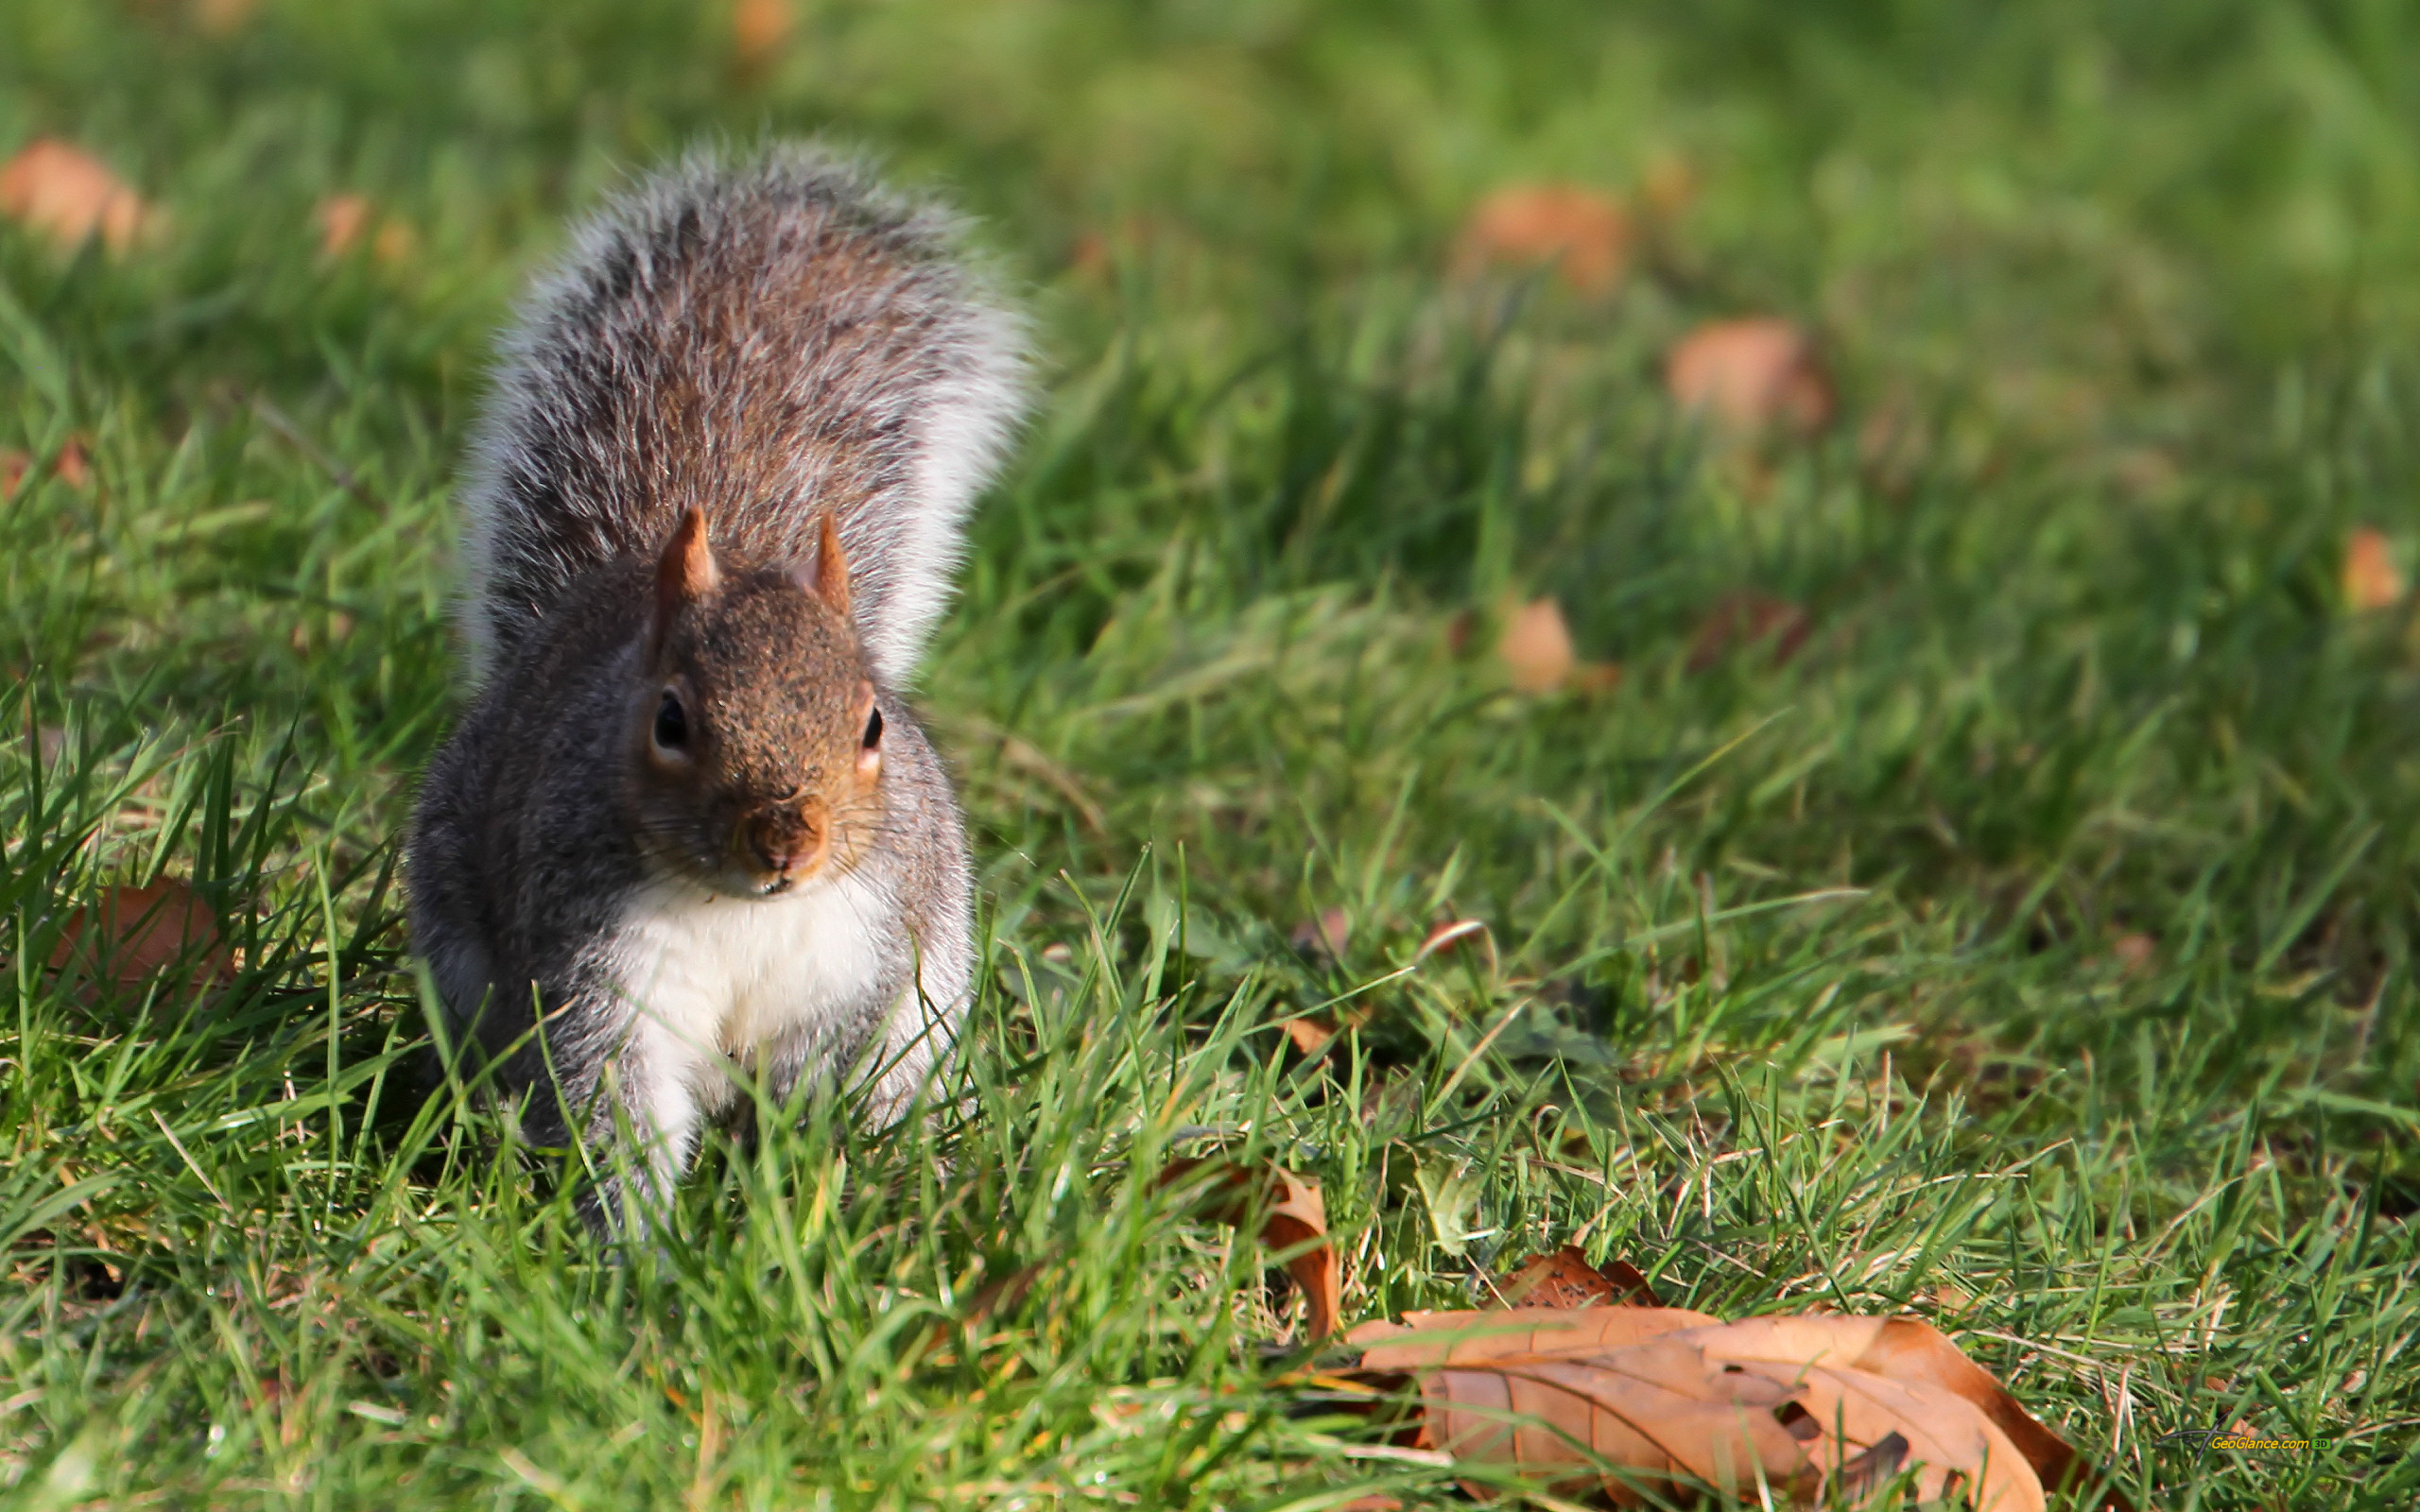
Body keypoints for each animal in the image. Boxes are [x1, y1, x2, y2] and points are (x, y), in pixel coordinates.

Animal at [408, 144, 1030, 1228]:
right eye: (671, 720)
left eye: (874, 724)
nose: (787, 839)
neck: (744, 910)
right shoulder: (599, 972)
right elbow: (613, 1103)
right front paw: (636, 1248)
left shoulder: (862, 956)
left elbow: (820, 1077)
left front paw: (788, 1194)